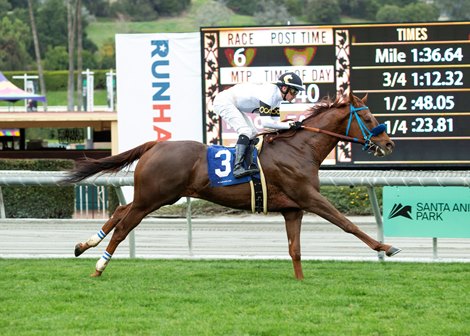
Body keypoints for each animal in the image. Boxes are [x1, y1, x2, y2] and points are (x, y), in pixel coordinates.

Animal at [63, 93, 400, 280]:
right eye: (369, 118)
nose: (388, 144)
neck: (299, 148)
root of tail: (154, 145)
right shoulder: (309, 197)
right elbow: (347, 224)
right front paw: (386, 247)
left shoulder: (293, 209)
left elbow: (295, 249)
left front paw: (301, 282)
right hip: (153, 198)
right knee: (123, 226)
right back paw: (99, 266)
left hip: (157, 196)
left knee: (121, 208)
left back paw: (83, 245)